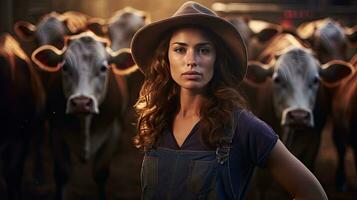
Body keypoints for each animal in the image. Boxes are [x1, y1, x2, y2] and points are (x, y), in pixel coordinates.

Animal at [30, 32, 137, 199]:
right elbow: (62, 174)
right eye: (65, 67)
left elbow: (101, 174)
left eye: (103, 68)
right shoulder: (56, 130)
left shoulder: (113, 131)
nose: (81, 102)